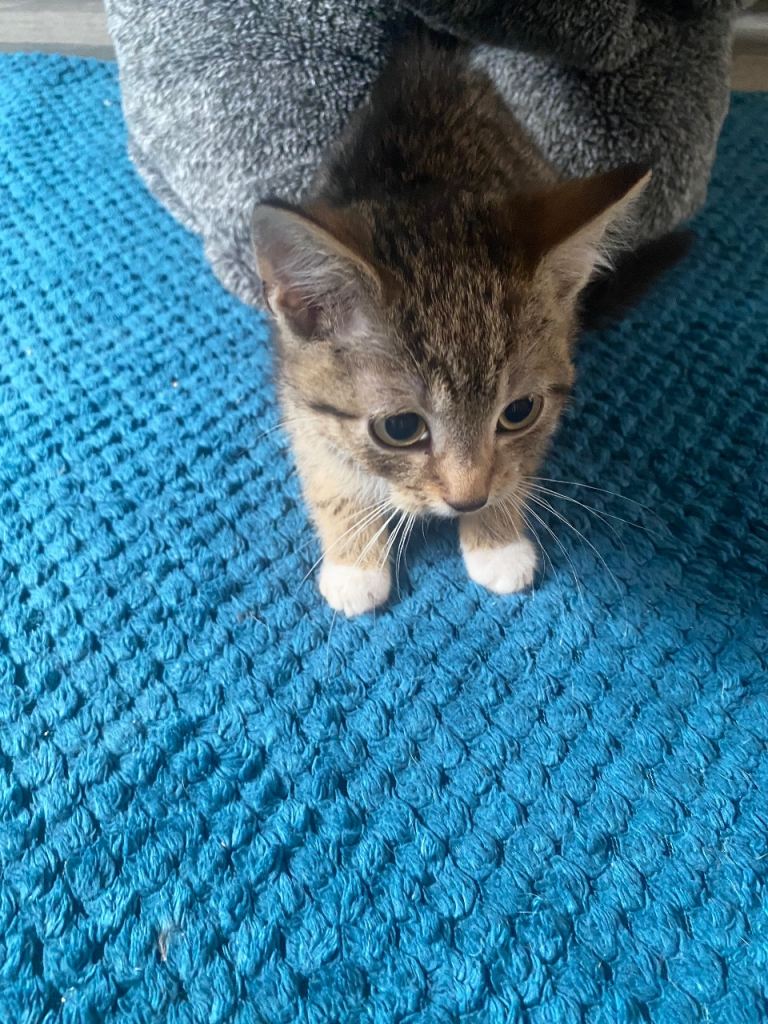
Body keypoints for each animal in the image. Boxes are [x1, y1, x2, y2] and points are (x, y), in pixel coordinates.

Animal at [251, 30, 649, 616]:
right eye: (400, 428)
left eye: (519, 411)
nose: (468, 499)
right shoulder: (296, 391)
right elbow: (326, 470)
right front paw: (354, 561)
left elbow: (519, 464)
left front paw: (498, 537)